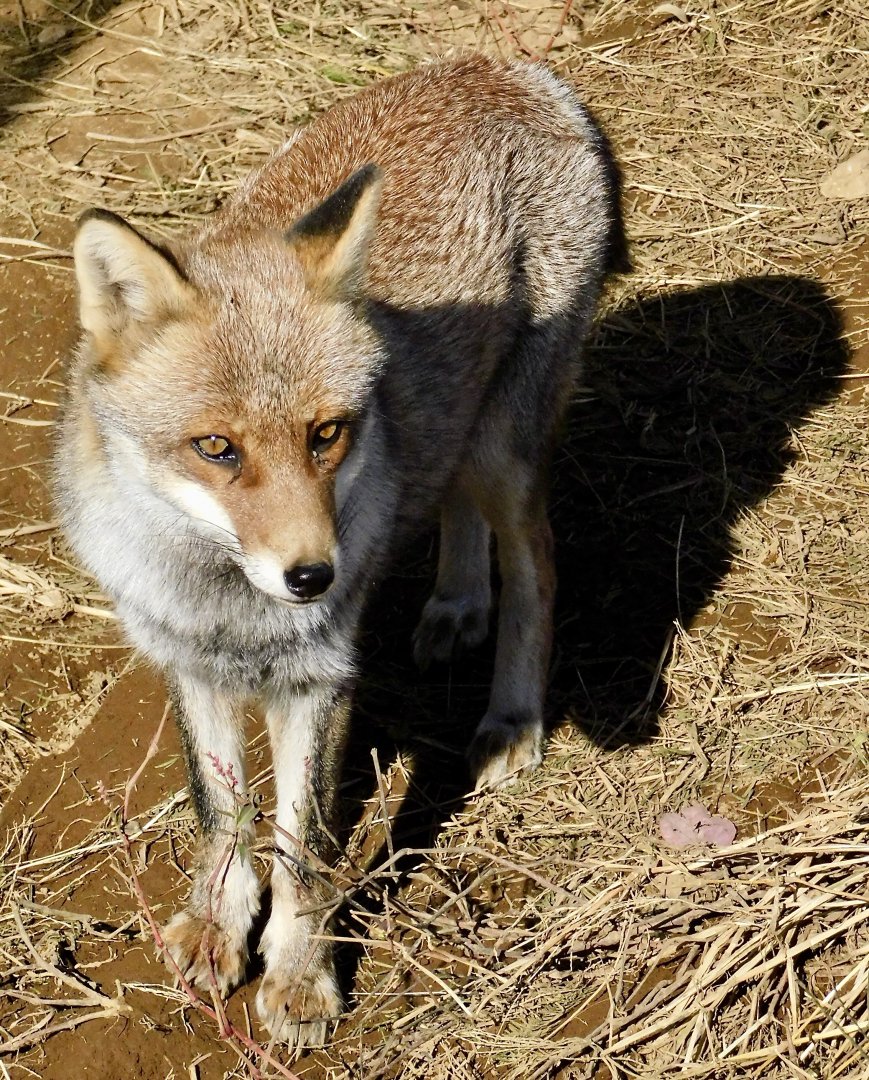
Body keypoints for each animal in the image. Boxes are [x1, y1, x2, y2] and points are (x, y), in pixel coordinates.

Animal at [55, 53, 621, 1045]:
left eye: (326, 434)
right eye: (217, 448)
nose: (315, 575)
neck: (224, 604)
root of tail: (504, 67)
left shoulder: (318, 679)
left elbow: (306, 843)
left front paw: (300, 973)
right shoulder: (185, 658)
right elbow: (221, 812)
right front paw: (219, 924)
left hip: (505, 449)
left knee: (537, 571)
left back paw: (513, 714)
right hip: (461, 431)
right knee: (452, 502)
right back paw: (454, 603)